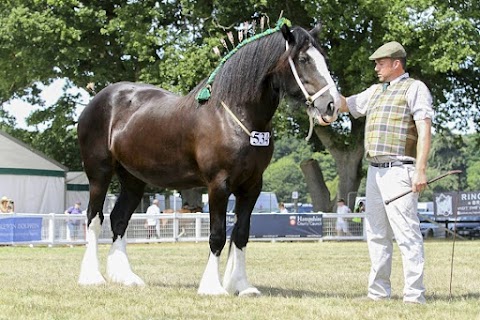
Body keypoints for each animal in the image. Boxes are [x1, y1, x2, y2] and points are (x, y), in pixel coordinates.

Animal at [77, 18, 342, 296]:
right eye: (303, 59)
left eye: (323, 57)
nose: (332, 105)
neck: (232, 116)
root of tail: (99, 99)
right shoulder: (218, 185)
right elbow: (217, 235)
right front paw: (212, 287)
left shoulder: (252, 186)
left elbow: (241, 234)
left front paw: (241, 285)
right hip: (99, 174)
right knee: (94, 218)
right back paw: (92, 277)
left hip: (132, 179)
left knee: (119, 219)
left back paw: (125, 277)